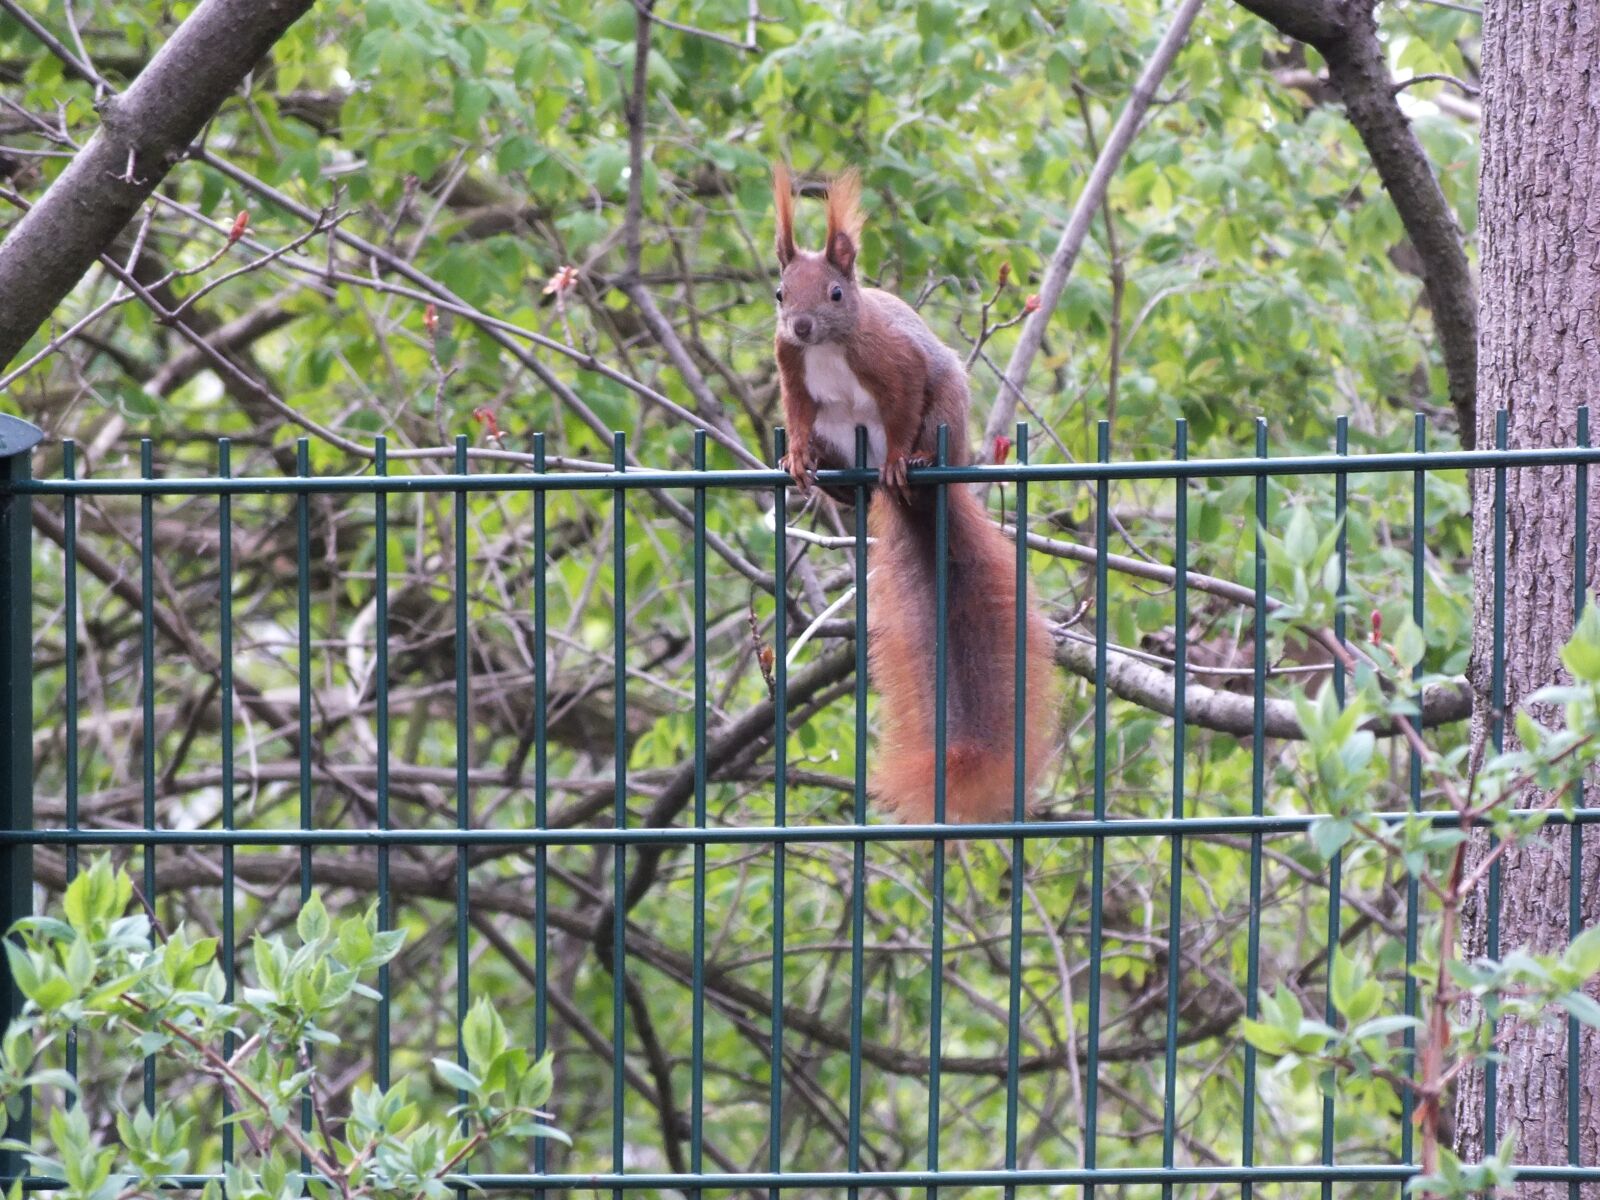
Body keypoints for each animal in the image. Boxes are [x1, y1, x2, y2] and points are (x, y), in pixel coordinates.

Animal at [768, 164, 1056, 825]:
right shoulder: (791, 370)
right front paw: (796, 457)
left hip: (947, 406)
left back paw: (914, 465)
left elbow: (902, 404)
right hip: (845, 447)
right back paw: (830, 475)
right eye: (779, 294)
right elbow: (797, 415)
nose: (799, 325)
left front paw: (901, 457)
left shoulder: (895, 364)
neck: (826, 348)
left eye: (836, 294)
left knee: (929, 422)